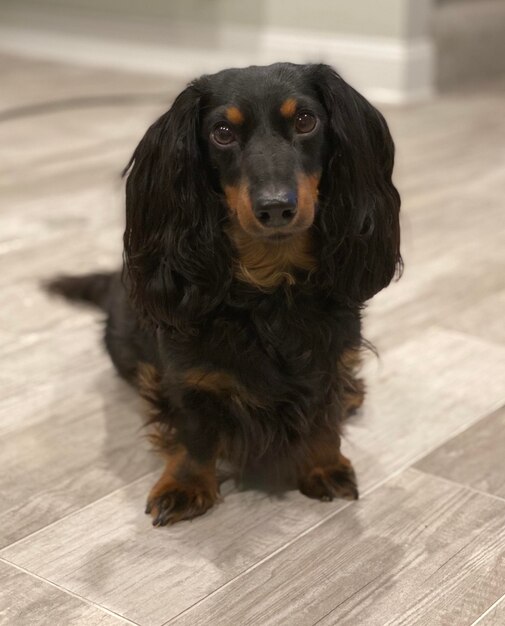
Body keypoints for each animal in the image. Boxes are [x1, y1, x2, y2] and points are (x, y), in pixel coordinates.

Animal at [48, 62, 402, 520]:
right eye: (222, 132)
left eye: (306, 121)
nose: (275, 207)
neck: (271, 287)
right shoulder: (186, 379)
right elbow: (195, 433)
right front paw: (186, 484)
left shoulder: (329, 361)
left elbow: (324, 419)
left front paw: (324, 466)